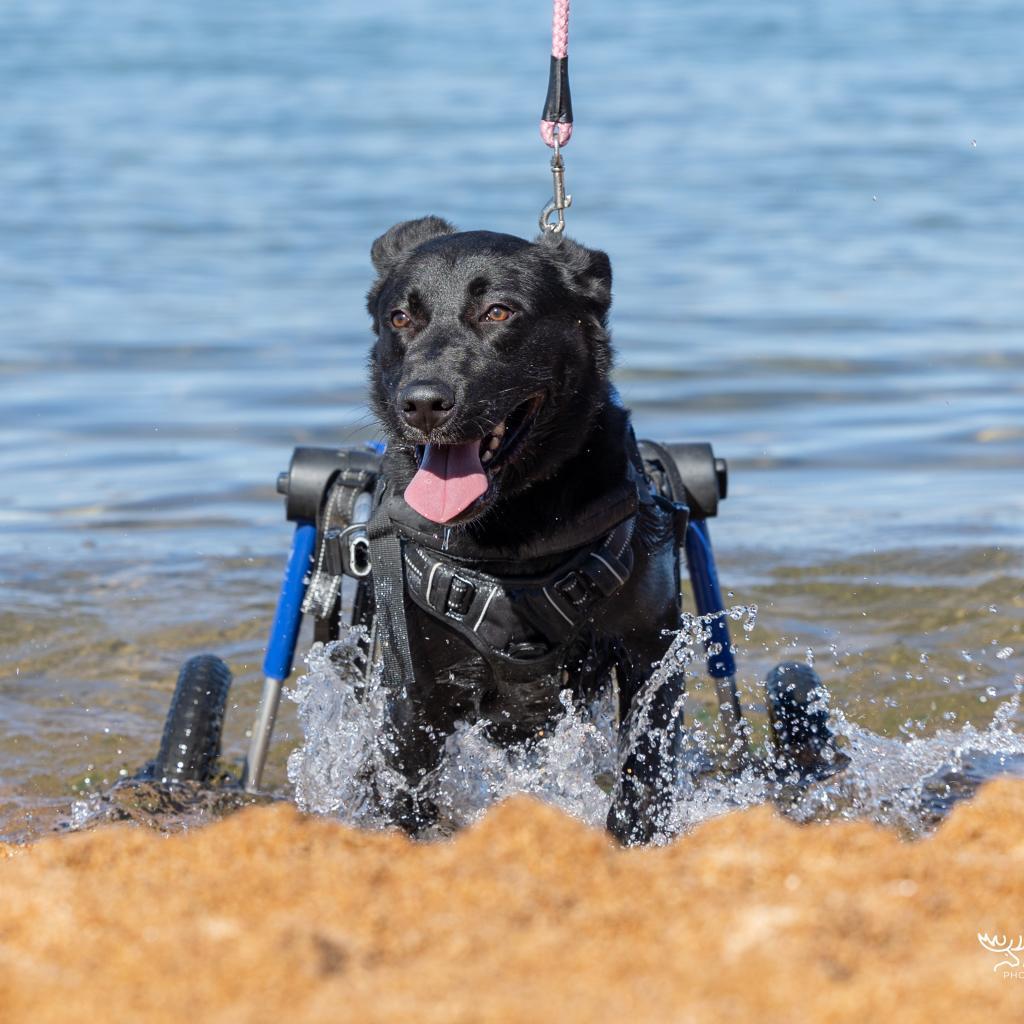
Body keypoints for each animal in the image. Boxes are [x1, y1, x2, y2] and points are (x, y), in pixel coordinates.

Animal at [362, 214, 688, 839]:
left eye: (498, 312)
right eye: (401, 318)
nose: (423, 403)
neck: (511, 540)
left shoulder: (649, 653)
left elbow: (642, 778)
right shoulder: (414, 688)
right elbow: (401, 793)